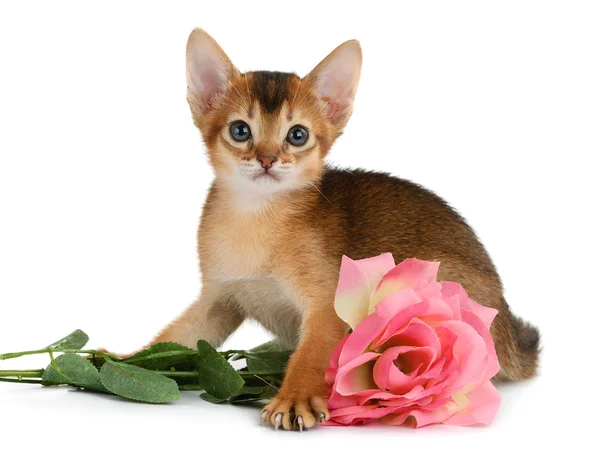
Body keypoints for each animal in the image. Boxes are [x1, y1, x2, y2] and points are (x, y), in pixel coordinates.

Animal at [135, 29, 540, 430]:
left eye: (297, 135)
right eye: (239, 130)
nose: (267, 159)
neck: (256, 218)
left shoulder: (325, 302)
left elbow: (312, 352)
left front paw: (295, 398)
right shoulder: (220, 300)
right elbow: (178, 336)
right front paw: (128, 360)